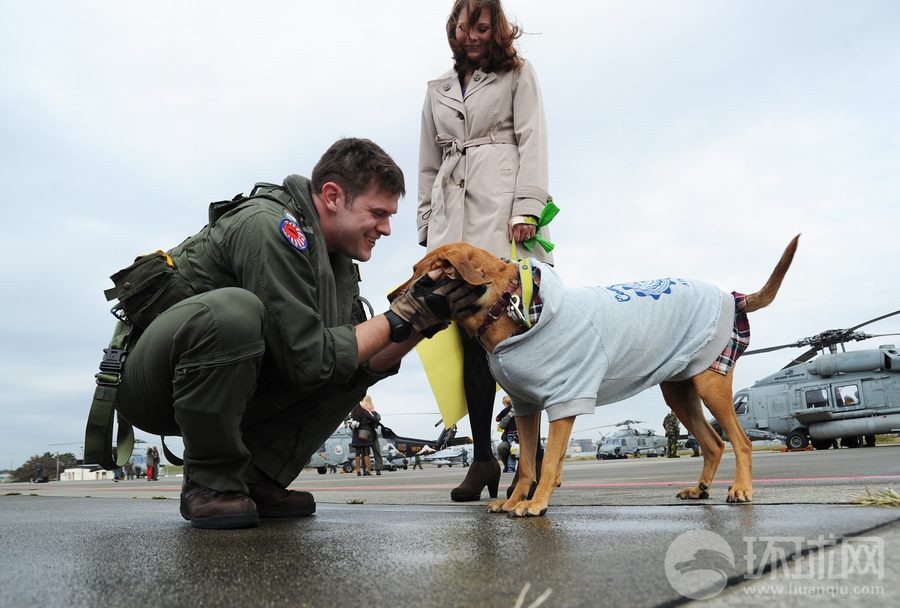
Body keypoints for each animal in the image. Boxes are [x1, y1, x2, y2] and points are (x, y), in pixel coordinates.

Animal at [390, 238, 800, 516]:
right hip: (679, 390)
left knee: (740, 441)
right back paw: (700, 490)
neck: (509, 305)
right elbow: (526, 463)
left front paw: (535, 503)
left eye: (419, 274)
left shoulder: (564, 401)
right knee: (714, 443)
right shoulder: (524, 407)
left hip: (710, 382)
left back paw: (741, 490)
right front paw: (515, 500)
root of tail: (733, 297)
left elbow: (549, 461)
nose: (392, 301)